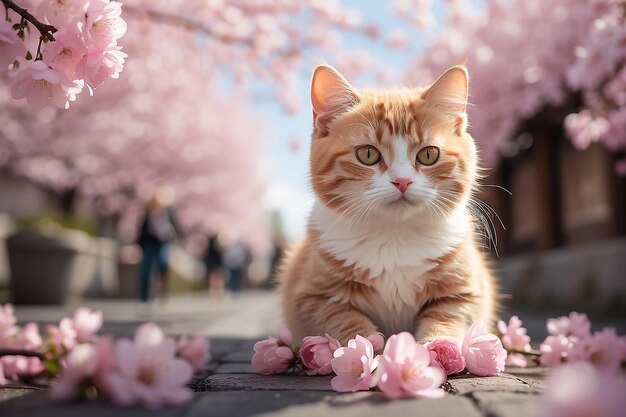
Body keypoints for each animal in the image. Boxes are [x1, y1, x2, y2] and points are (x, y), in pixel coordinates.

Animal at [280, 62, 494, 344]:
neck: (395, 237)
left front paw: (436, 348)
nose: (402, 181)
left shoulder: (464, 293)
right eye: (368, 154)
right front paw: (368, 350)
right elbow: (345, 323)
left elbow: (447, 320)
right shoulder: (314, 297)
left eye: (428, 155)